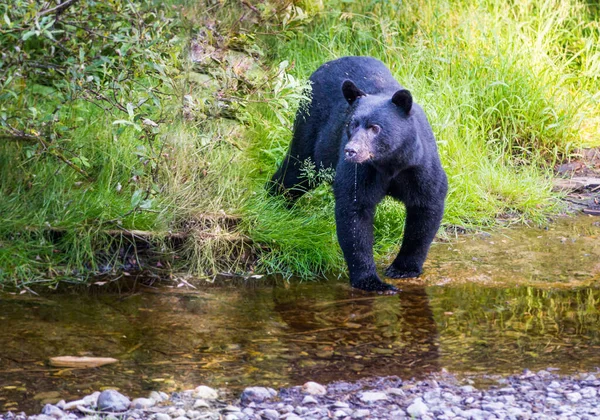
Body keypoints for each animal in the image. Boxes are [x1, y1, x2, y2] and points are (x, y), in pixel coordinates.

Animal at [270, 55, 448, 292]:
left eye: (375, 127)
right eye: (351, 124)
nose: (351, 150)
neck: (389, 162)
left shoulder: (418, 166)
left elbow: (426, 206)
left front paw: (402, 268)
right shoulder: (361, 171)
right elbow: (354, 212)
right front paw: (371, 281)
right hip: (311, 128)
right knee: (295, 171)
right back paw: (274, 201)